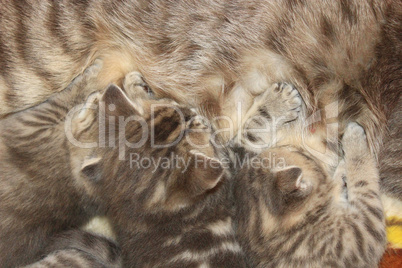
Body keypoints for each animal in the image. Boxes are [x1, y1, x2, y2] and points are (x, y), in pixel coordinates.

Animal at [232, 122, 386, 268]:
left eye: (288, 147)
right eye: (297, 151)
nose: (290, 143)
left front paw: (341, 171)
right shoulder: (364, 230)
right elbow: (361, 173)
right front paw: (353, 138)